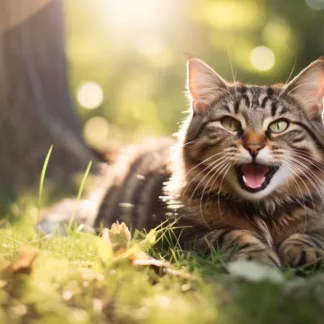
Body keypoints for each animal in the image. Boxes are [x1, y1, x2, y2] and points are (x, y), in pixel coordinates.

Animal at [41, 57, 324, 268]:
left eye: (279, 126)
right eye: (230, 124)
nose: (254, 147)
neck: (263, 210)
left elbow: (311, 237)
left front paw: (304, 251)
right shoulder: (179, 232)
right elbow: (230, 235)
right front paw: (259, 256)